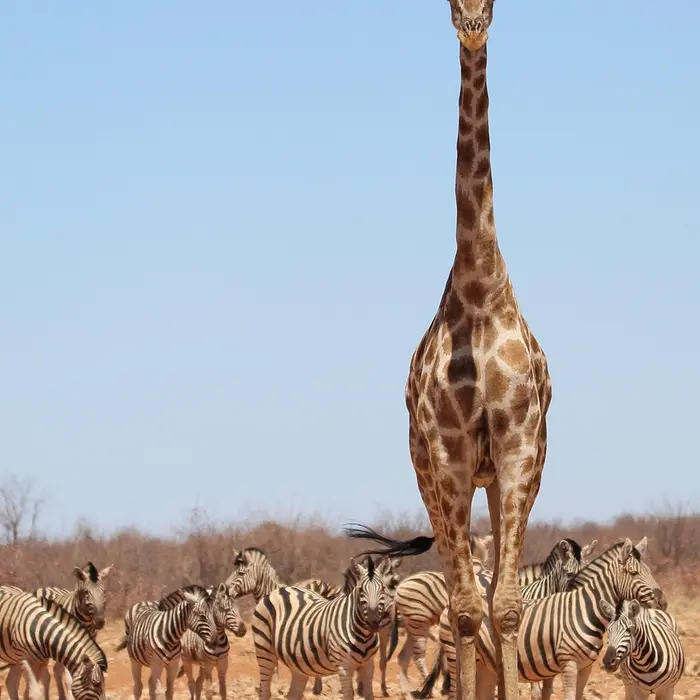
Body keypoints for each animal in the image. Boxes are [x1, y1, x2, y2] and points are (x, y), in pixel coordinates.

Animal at [347, 2, 552, 699]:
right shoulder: (451, 456)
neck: (481, 292)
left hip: (498, 477)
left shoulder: (520, 450)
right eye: (449, 5)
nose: (470, 25)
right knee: (460, 596)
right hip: (429, 473)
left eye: (492, 5)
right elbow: (463, 608)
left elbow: (506, 604)